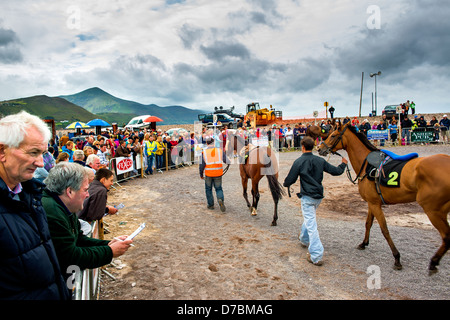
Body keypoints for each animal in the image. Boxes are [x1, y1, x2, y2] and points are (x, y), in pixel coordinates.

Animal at [318, 122, 450, 276]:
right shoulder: (372, 202)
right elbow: (368, 223)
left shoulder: (375, 203)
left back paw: (434, 262)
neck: (367, 165)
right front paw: (364, 243)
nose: (319, 148)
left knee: (446, 236)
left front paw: (397, 257)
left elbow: (384, 229)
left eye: (333, 135)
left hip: (432, 210)